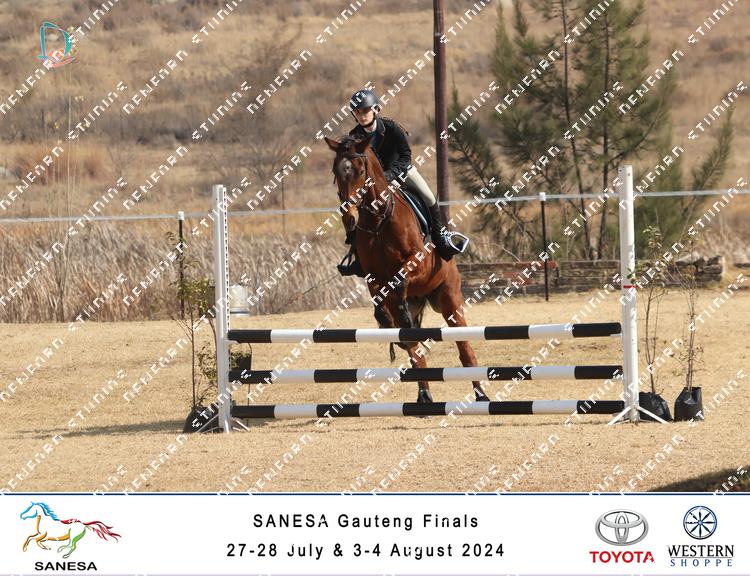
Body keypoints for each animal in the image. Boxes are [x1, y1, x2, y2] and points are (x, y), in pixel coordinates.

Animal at [325, 134, 488, 404]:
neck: (378, 221)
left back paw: (481, 394)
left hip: (449, 299)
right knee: (415, 349)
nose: (349, 218)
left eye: (361, 170)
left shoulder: (416, 263)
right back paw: (424, 393)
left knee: (464, 347)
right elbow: (381, 303)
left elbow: (400, 280)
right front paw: (389, 323)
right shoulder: (372, 276)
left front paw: (399, 316)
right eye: (336, 171)